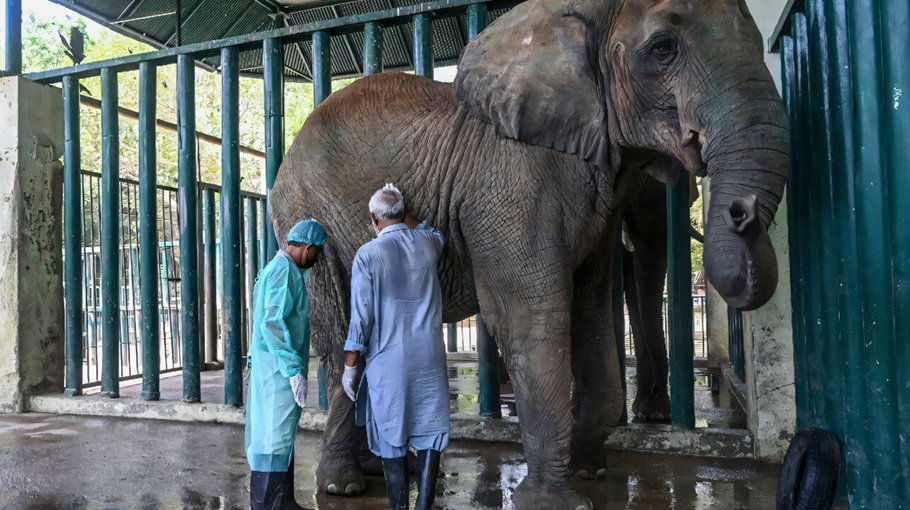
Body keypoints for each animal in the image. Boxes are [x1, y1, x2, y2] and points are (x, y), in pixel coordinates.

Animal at [270, 0, 788, 508]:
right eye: (663, 49)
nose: (740, 211)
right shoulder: (513, 181)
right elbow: (531, 317)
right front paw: (557, 502)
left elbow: (591, 312)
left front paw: (590, 471)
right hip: (311, 216)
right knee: (342, 338)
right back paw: (344, 485)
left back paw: (383, 470)